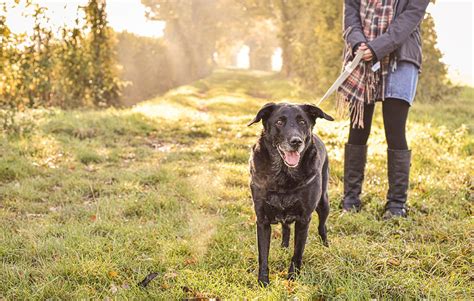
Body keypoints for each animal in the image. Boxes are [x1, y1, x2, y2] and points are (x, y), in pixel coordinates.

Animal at [248, 102, 334, 284]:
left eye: (302, 122)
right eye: (279, 122)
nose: (296, 141)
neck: (283, 174)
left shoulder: (304, 220)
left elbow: (298, 253)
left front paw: (293, 277)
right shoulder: (262, 220)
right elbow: (263, 255)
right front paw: (263, 281)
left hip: (323, 203)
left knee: (322, 226)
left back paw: (326, 246)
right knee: (286, 227)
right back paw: (284, 247)